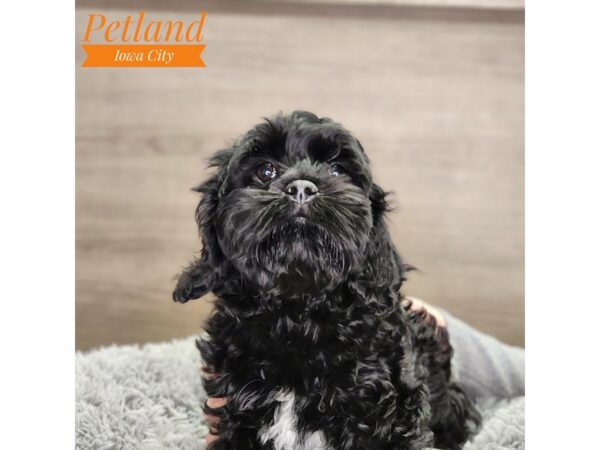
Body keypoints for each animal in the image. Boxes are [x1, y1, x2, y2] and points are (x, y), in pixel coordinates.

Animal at [172, 110, 478, 448]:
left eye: (337, 170)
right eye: (266, 170)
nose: (301, 188)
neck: (297, 312)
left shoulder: (392, 408)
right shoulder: (236, 409)